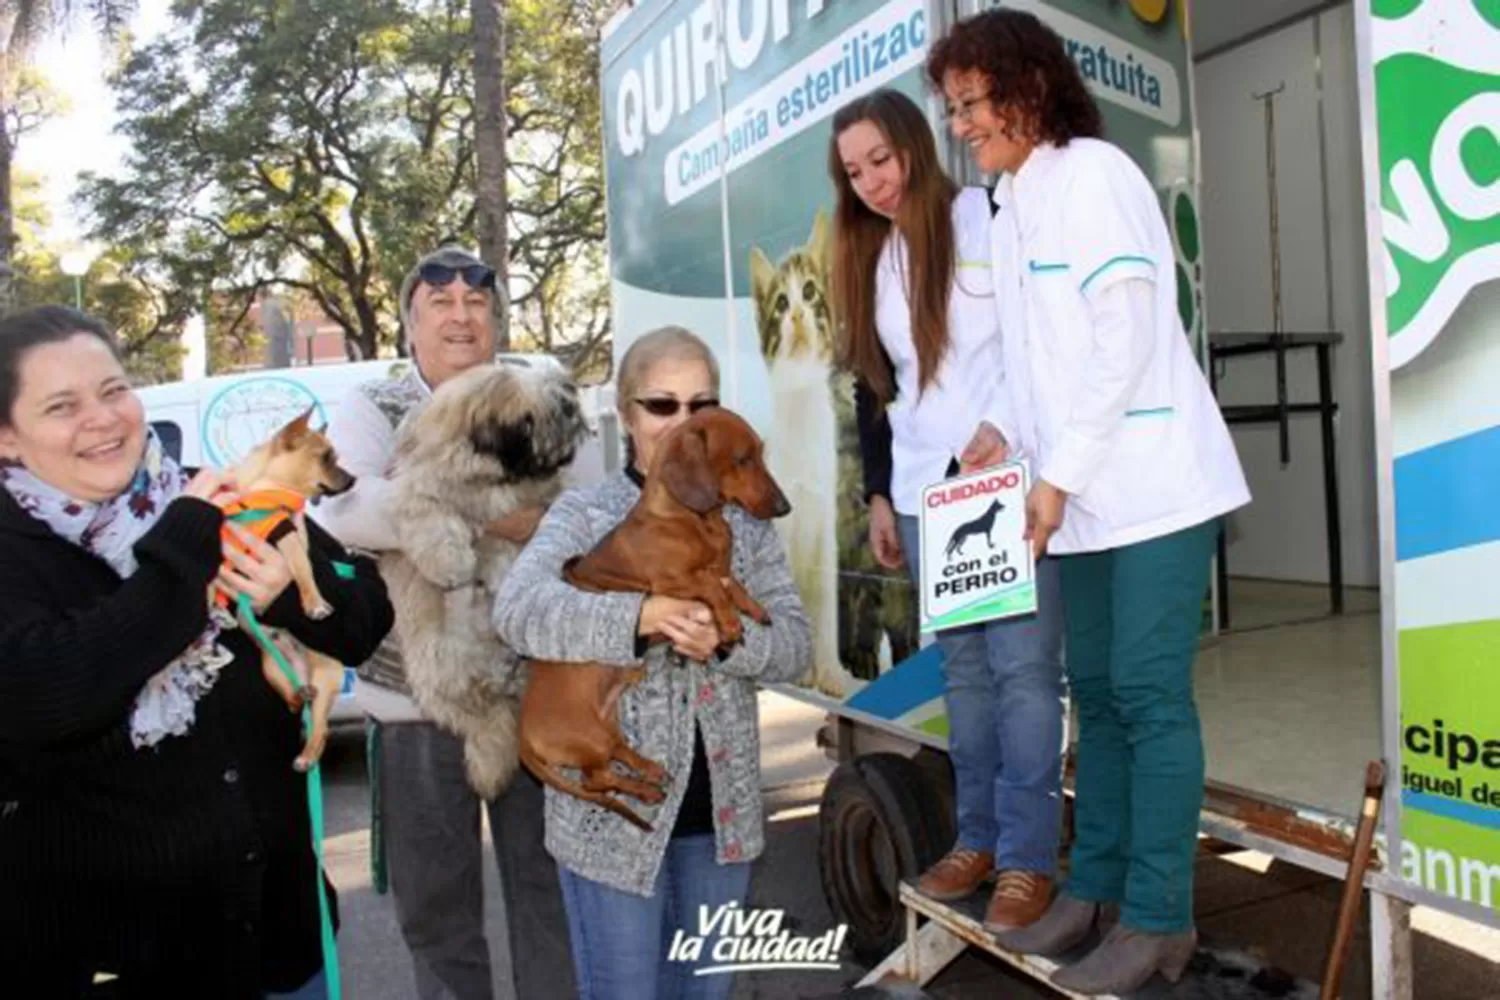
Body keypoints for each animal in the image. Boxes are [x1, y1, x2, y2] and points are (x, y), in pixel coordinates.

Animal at [384, 359, 588, 797]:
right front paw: (452, 562)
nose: (572, 412)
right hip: (439, 664)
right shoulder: (421, 489)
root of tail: (499, 682)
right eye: (538, 418)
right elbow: (433, 518)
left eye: (564, 402)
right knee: (478, 714)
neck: (497, 476)